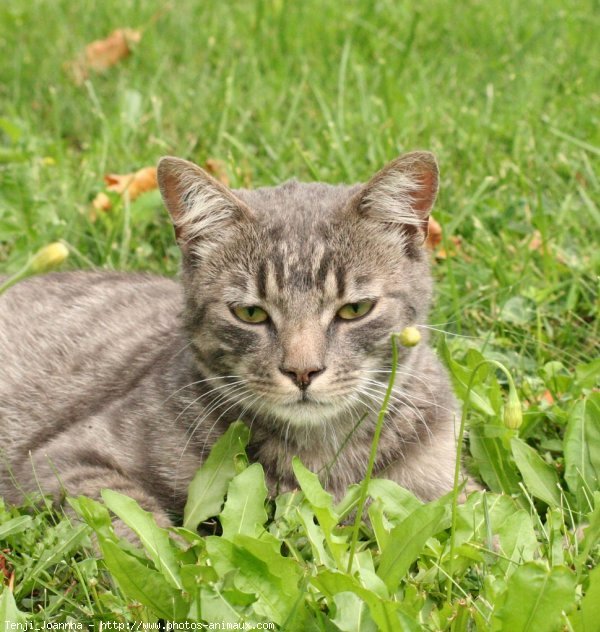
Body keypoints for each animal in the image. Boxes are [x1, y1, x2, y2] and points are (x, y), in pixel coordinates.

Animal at [0, 153, 458, 528]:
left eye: (355, 309)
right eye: (250, 313)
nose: (303, 371)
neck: (320, 457)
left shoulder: (444, 487)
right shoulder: (62, 461)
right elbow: (132, 526)